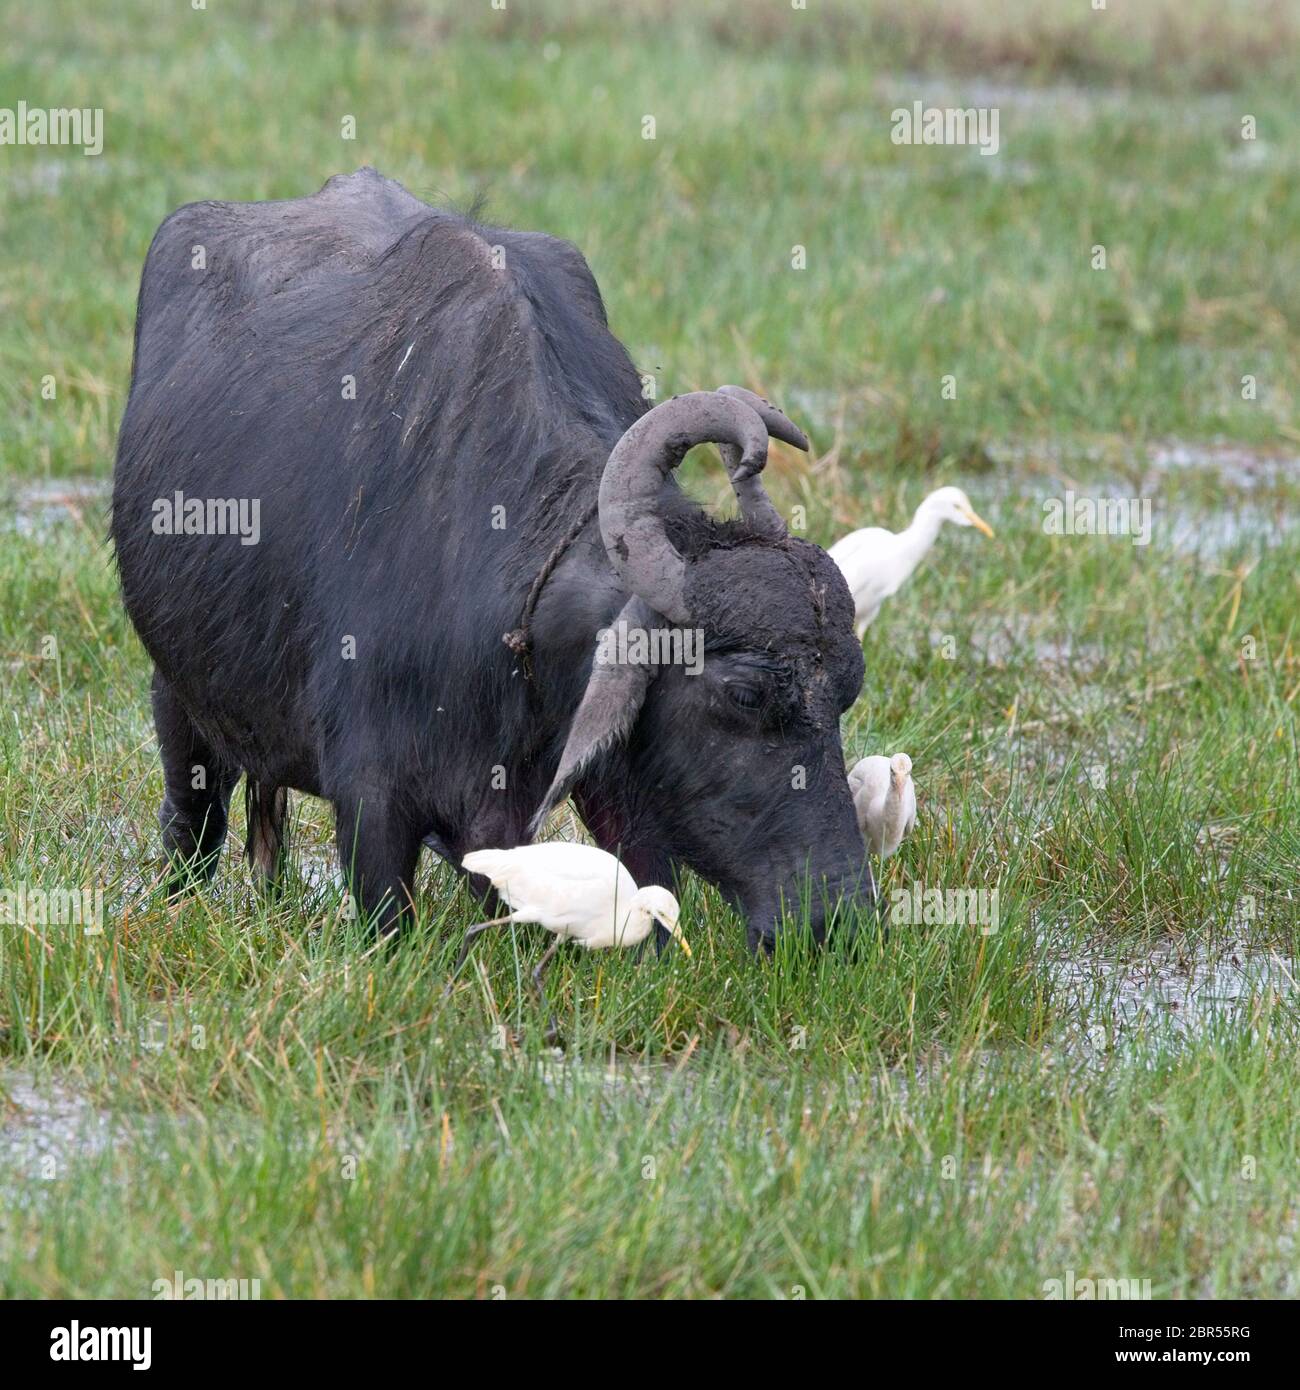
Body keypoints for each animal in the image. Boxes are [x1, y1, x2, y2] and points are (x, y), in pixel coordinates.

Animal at [107, 162, 867, 945]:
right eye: (743, 694)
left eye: (849, 690)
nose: (836, 920)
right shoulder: (371, 802)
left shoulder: (602, 804)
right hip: (177, 694)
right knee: (194, 826)